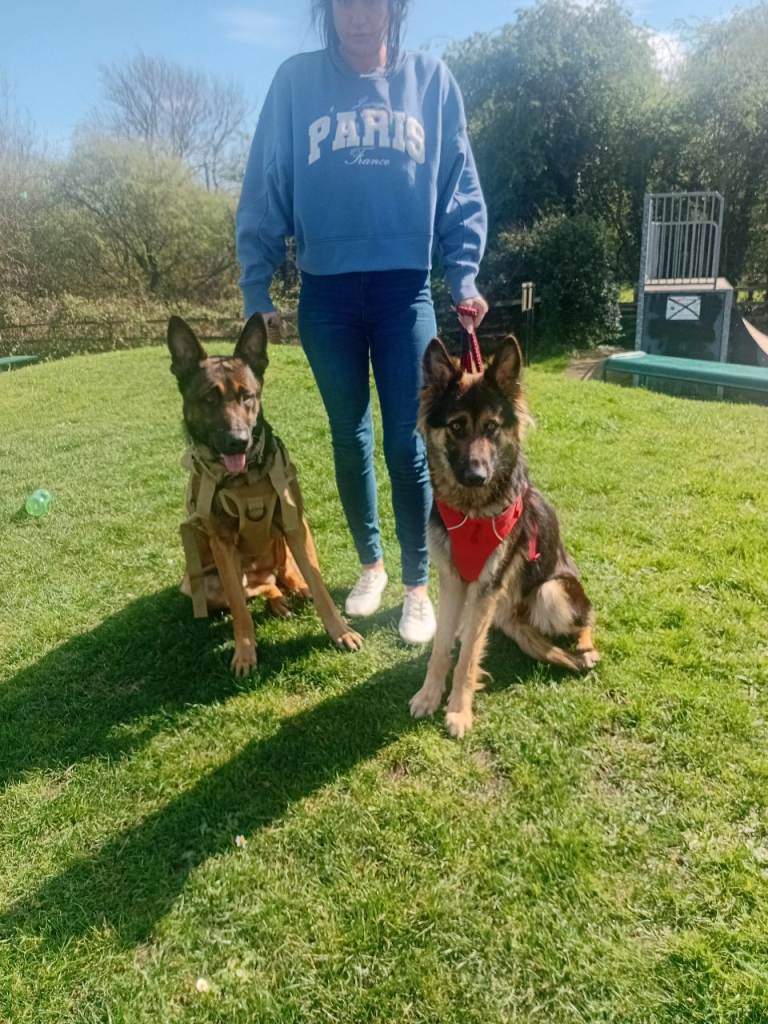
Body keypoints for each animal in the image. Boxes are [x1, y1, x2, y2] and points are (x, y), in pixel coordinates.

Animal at [167, 314, 363, 675]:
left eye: (248, 396)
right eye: (209, 399)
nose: (238, 441)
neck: (245, 479)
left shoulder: (295, 524)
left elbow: (321, 588)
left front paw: (340, 632)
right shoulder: (222, 545)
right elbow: (240, 609)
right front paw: (245, 653)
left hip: (285, 543)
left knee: (286, 575)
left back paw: (296, 589)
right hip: (198, 583)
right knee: (256, 591)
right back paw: (278, 600)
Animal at [409, 334, 598, 737]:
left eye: (492, 427)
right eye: (456, 426)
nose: (476, 475)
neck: (472, 512)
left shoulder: (487, 585)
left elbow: (467, 659)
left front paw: (459, 710)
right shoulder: (453, 580)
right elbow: (442, 648)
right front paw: (430, 695)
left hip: (551, 591)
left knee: (588, 618)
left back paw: (587, 648)